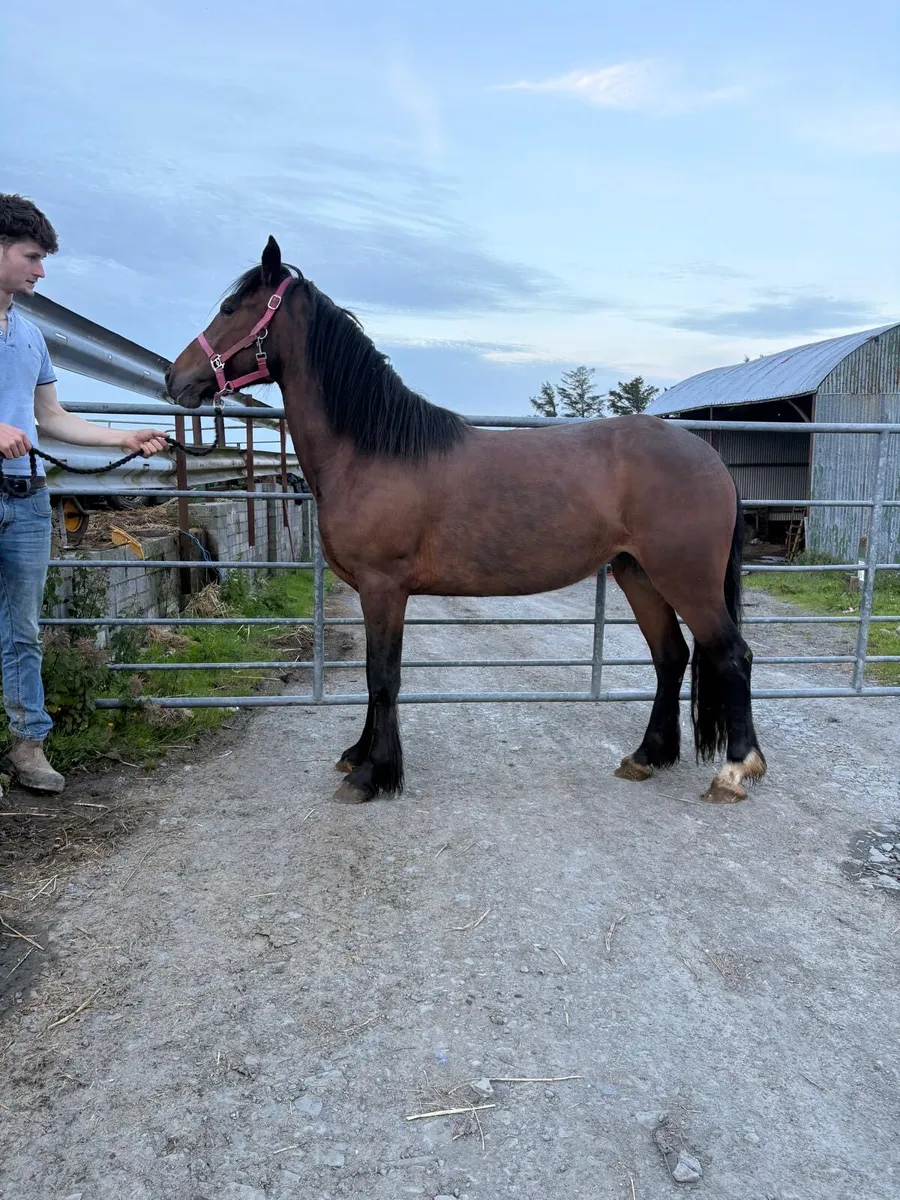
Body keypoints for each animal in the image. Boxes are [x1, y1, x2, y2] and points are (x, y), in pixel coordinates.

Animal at [166, 237, 766, 806]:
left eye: (229, 308)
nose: (175, 379)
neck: (370, 451)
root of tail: (709, 458)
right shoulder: (371, 592)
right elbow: (374, 677)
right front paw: (359, 755)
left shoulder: (384, 588)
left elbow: (383, 678)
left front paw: (372, 776)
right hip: (636, 573)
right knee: (672, 657)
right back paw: (646, 756)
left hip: (684, 578)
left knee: (731, 656)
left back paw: (735, 772)